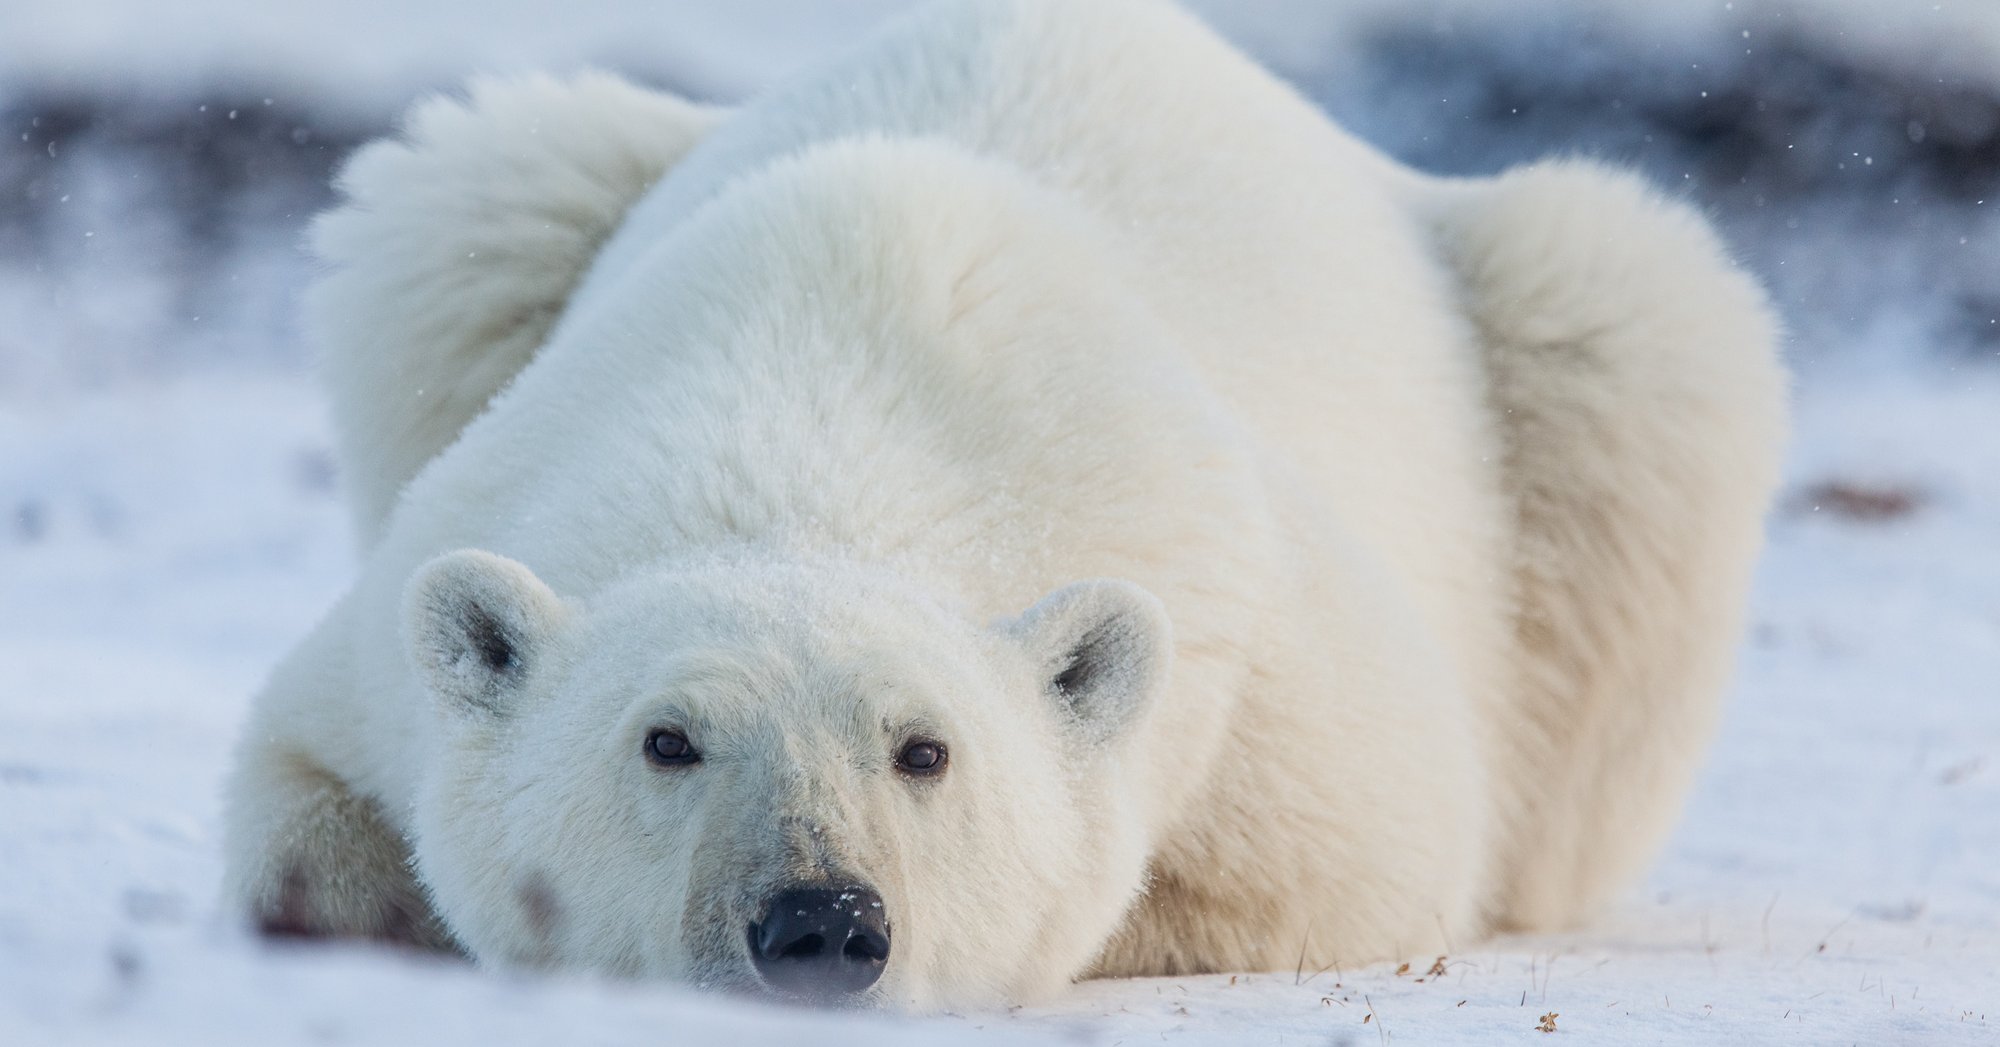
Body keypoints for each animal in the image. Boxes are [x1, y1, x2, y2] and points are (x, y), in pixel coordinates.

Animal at [227, 0, 1792, 1011]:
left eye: (924, 750)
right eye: (666, 740)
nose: (821, 923)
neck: (829, 400)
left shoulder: (1266, 683)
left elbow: (1312, 873)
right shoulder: (437, 565)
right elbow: (302, 811)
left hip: (1567, 338)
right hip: (525, 200)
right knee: (475, 187)